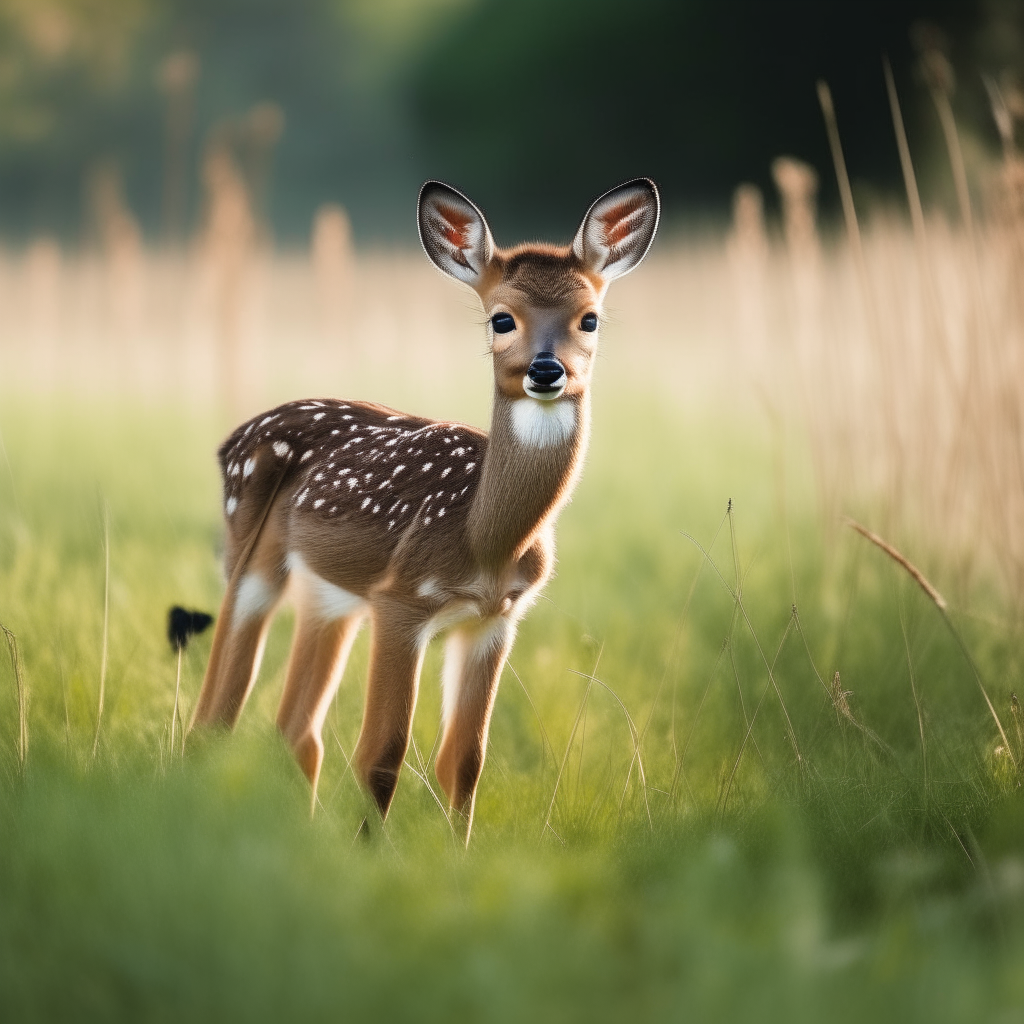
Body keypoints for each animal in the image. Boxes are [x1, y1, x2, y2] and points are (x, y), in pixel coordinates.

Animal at [188, 178, 659, 839]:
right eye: (501, 318)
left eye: (589, 318)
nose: (547, 370)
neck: (484, 539)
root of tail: (229, 440)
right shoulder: (401, 600)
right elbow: (382, 753)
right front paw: (366, 853)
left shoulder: (497, 618)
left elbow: (465, 759)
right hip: (249, 558)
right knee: (214, 716)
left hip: (329, 593)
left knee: (296, 729)